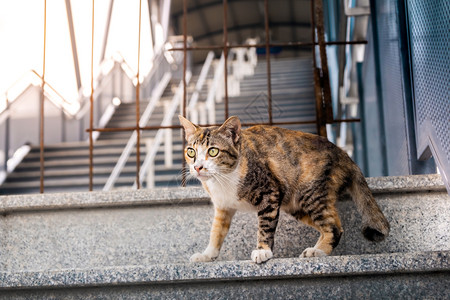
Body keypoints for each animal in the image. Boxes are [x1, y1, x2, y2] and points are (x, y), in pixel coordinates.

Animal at [178, 116, 388, 264]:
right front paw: (207, 255)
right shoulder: (223, 206)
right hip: (295, 205)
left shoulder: (269, 192)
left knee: (334, 226)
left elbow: (265, 226)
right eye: (191, 152)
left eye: (213, 151)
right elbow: (216, 232)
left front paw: (263, 251)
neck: (223, 180)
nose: (197, 167)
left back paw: (318, 251)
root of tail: (343, 154)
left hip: (309, 191)